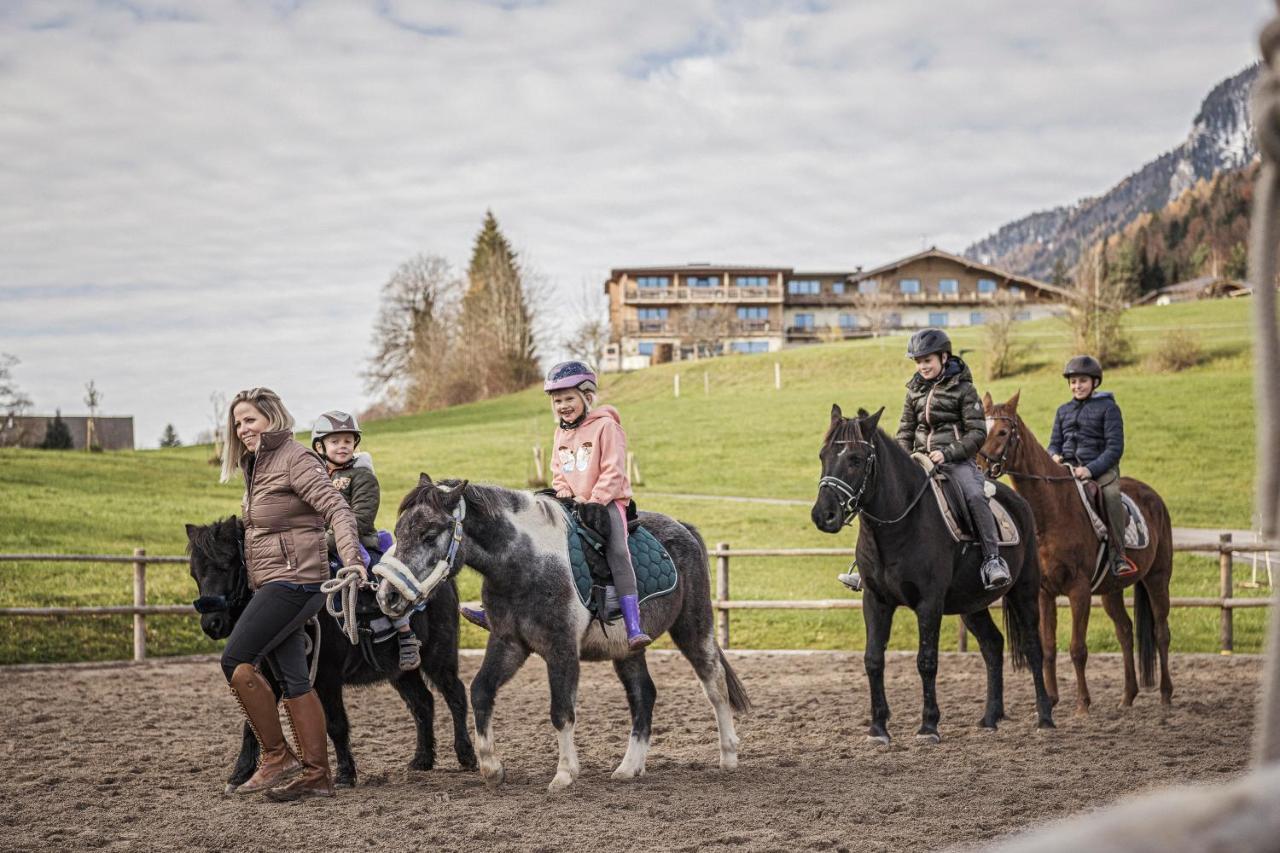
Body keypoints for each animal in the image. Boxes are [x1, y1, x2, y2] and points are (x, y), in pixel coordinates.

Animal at [184, 514, 476, 788]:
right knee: (423, 703)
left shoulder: (327, 677)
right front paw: (239, 774)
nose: (212, 624)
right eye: (194, 574)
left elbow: (336, 724)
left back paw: (467, 755)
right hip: (401, 671)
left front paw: (345, 774)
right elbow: (252, 721)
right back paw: (422, 759)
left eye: (226, 566)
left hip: (439, 658)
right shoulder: (270, 675)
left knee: (456, 696)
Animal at [373, 471, 747, 788]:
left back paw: (728, 756)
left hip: (693, 628)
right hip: (626, 649)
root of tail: (682, 527)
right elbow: (480, 691)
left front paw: (565, 774)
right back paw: (629, 767)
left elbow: (561, 711)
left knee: (714, 683)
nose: (388, 595)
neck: (524, 564)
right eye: (399, 531)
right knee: (644, 695)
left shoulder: (561, 648)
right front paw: (491, 767)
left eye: (429, 534)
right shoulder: (509, 643)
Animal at [808, 404, 1049, 737]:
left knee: (1034, 648)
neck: (900, 523)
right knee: (992, 645)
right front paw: (878, 727)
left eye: (855, 459)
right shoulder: (875, 601)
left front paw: (929, 724)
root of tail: (1018, 502)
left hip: (1024, 592)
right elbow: (873, 659)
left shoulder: (929, 603)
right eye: (823, 455)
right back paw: (990, 718)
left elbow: (926, 661)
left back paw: (1045, 717)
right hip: (970, 605)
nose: (824, 515)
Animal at [972, 391, 1172, 712]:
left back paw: (1166, 694)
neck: (1052, 511)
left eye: (1002, 432)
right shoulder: (1045, 592)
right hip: (1111, 590)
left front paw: (1082, 704)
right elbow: (1049, 647)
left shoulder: (1079, 591)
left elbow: (1077, 648)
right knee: (1125, 632)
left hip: (1157, 578)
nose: (977, 467)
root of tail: (1153, 496)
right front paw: (1051, 700)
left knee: (1161, 632)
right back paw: (1127, 696)